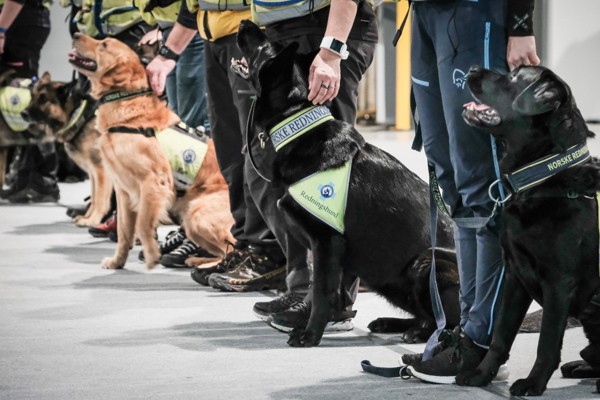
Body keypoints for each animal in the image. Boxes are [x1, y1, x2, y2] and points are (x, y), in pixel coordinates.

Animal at [67, 32, 233, 268]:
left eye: (104, 44)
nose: (76, 34)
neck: (127, 106)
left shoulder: (153, 183)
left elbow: (143, 224)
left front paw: (152, 254)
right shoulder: (123, 190)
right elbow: (124, 230)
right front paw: (117, 262)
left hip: (196, 213)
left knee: (233, 246)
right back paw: (198, 260)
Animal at [234, 20, 460, 346]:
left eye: (263, 44)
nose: (244, 22)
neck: (297, 123)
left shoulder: (327, 243)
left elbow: (321, 292)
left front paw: (309, 334)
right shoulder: (336, 255)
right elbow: (332, 294)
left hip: (426, 266)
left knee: (452, 322)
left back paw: (425, 334)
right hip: (388, 279)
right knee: (427, 315)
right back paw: (395, 324)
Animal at [454, 64, 600, 396]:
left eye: (513, 77)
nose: (472, 68)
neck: (544, 176)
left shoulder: (559, 282)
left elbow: (546, 342)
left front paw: (533, 383)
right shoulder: (514, 274)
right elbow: (501, 334)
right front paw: (480, 375)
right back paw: (581, 366)